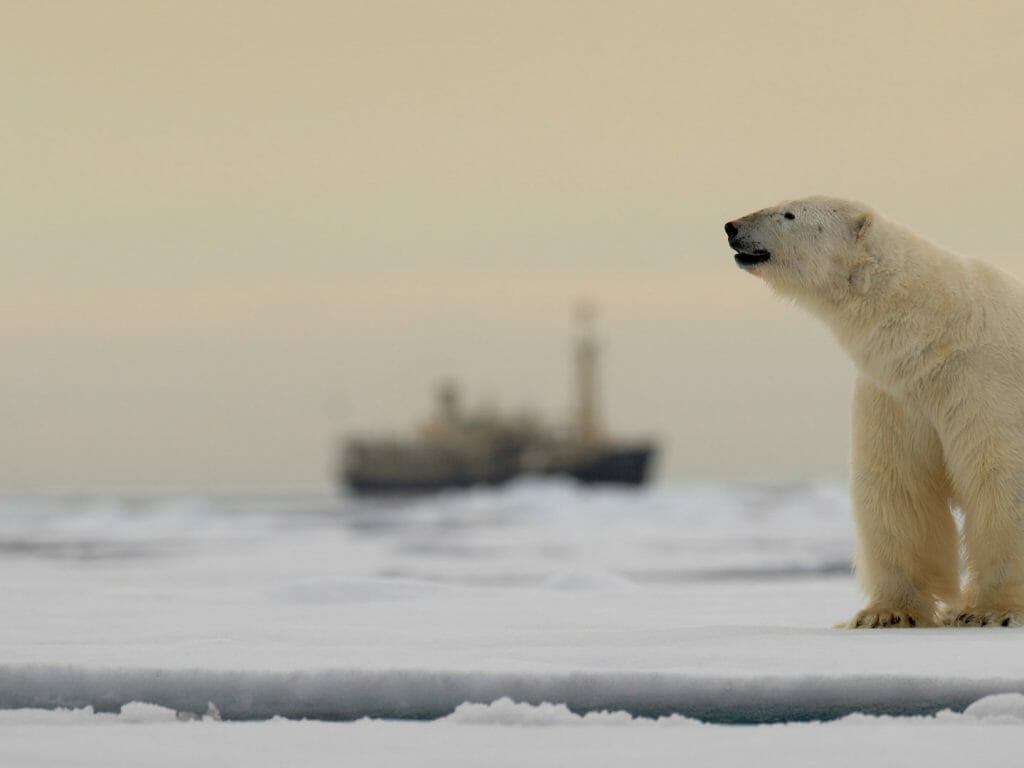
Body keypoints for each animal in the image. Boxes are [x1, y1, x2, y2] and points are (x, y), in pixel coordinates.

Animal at [724, 196, 1024, 628]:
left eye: (789, 213)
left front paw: (992, 611)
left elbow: (1000, 478)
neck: (938, 327)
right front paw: (886, 614)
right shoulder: (895, 396)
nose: (732, 227)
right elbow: (897, 485)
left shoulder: (984, 381)